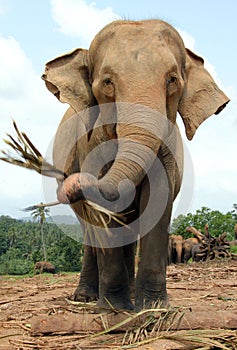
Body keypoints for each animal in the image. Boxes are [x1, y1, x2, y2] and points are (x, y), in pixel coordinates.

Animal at [41, 19, 229, 310]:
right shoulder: (91, 144)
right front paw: (113, 308)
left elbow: (158, 198)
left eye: (172, 80)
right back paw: (87, 298)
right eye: (107, 82)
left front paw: (152, 308)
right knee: (90, 231)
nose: (74, 181)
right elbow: (106, 213)